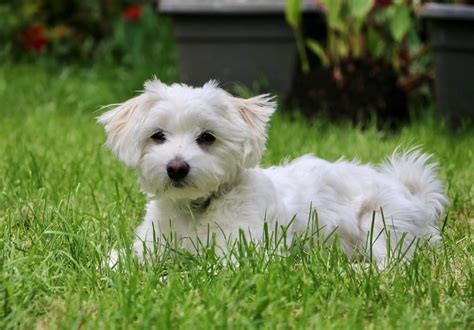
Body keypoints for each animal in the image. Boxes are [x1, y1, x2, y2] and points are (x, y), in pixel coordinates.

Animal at [97, 79, 448, 266]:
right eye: (157, 136)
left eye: (208, 137)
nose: (177, 167)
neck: (196, 210)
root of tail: (412, 194)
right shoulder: (150, 245)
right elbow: (120, 262)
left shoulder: (247, 251)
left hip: (381, 221)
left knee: (391, 265)